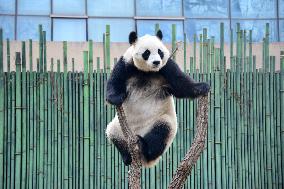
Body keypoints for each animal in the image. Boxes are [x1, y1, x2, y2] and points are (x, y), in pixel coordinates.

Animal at [105, 29, 210, 167]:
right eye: (147, 52)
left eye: (160, 52)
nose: (156, 62)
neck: (147, 72)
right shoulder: (126, 64)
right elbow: (115, 81)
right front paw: (116, 98)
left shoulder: (167, 67)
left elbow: (181, 85)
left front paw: (203, 86)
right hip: (118, 128)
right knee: (114, 135)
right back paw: (127, 156)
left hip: (161, 120)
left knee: (160, 133)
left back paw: (145, 147)